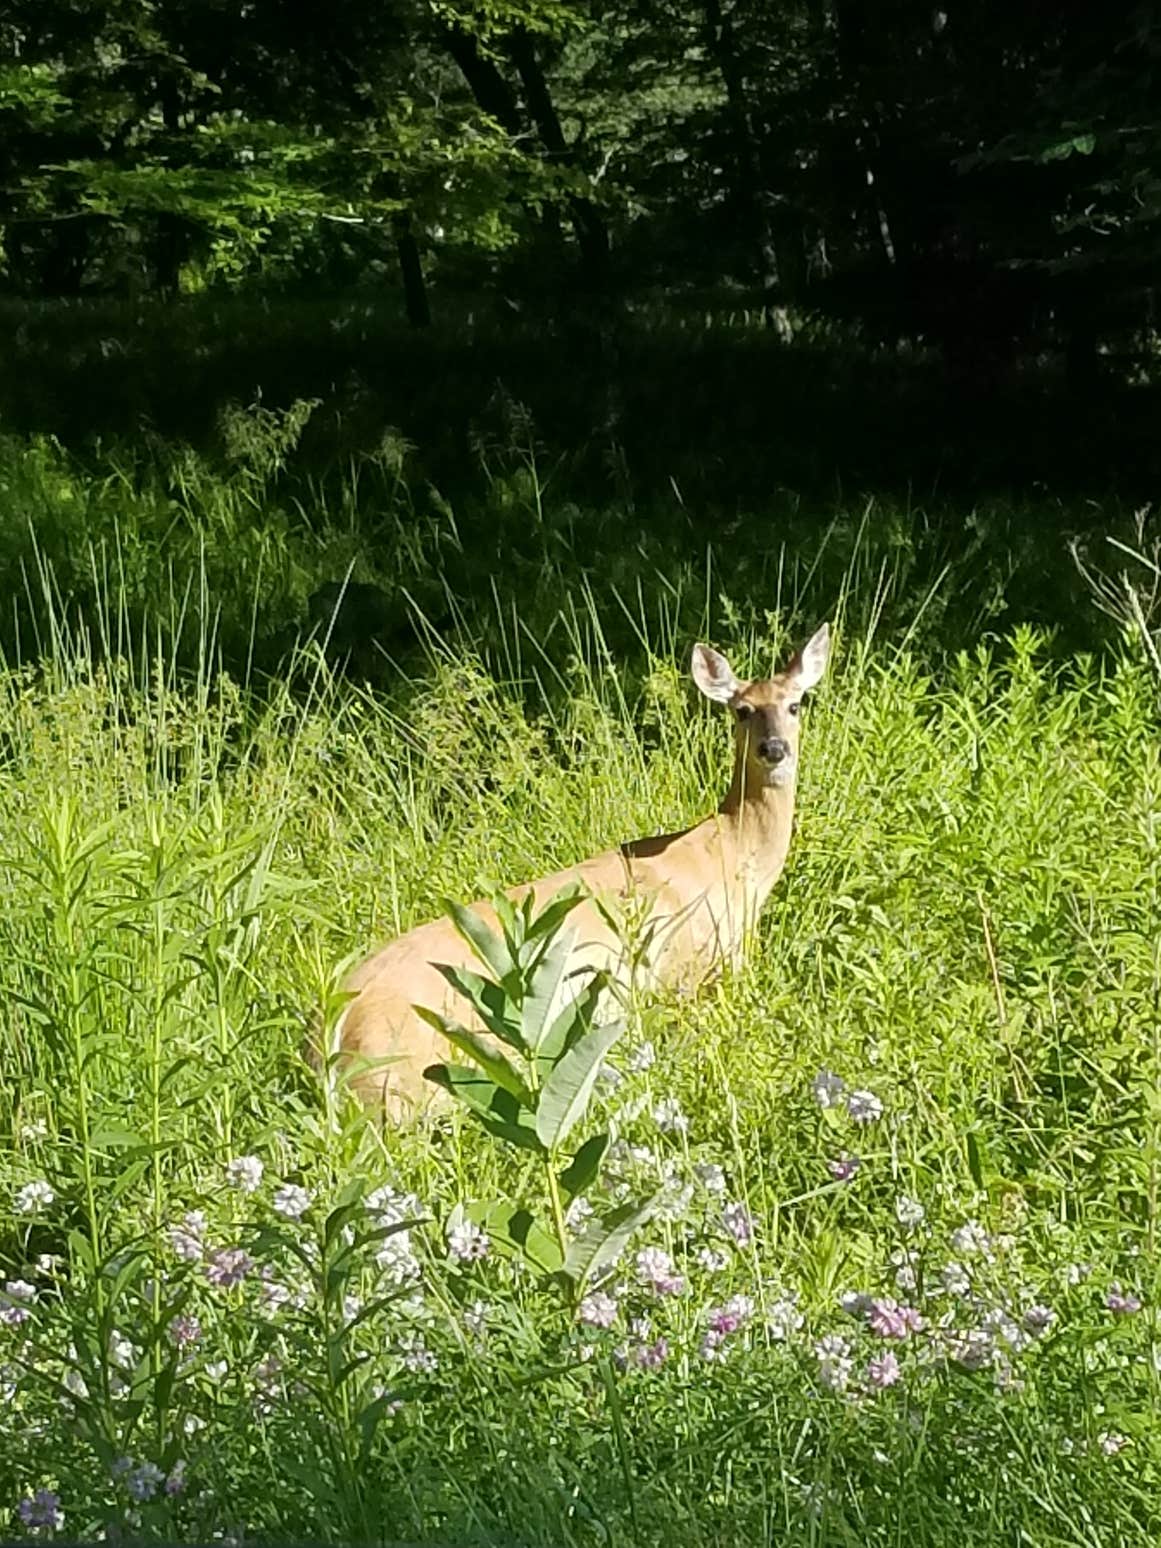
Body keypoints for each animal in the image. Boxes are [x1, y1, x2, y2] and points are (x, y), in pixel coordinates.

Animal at [328, 622, 829, 1120]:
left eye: (795, 704)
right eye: (742, 711)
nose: (774, 749)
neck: (732, 853)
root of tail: (334, 1025)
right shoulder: (698, 969)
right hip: (411, 1082)